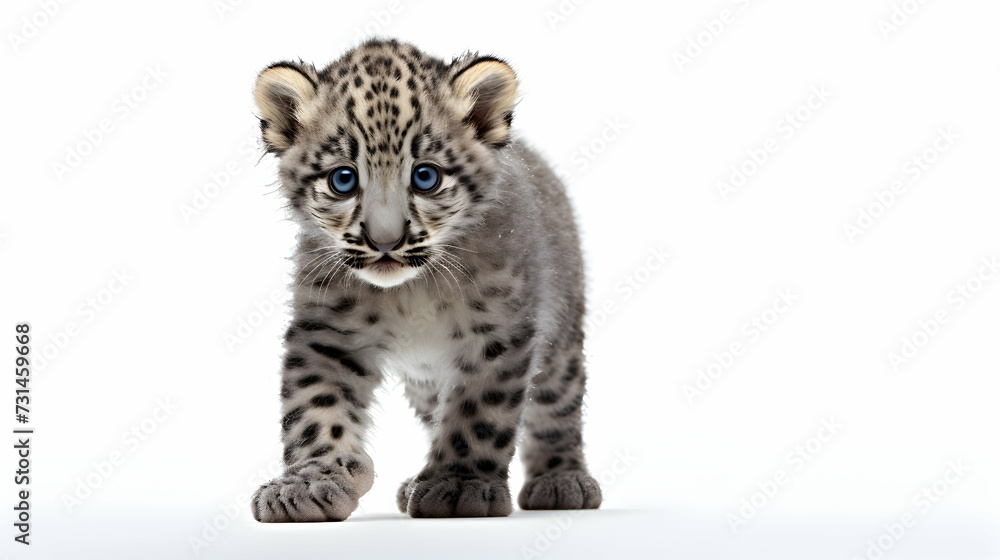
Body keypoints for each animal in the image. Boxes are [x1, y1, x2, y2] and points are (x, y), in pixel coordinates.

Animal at [249, 38, 601, 521]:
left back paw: (562, 480)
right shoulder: (326, 331)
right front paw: (310, 481)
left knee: (557, 406)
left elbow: (478, 413)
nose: (385, 241)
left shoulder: (496, 333)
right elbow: (314, 406)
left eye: (426, 175)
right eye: (343, 178)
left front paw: (460, 484)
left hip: (561, 338)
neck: (410, 293)